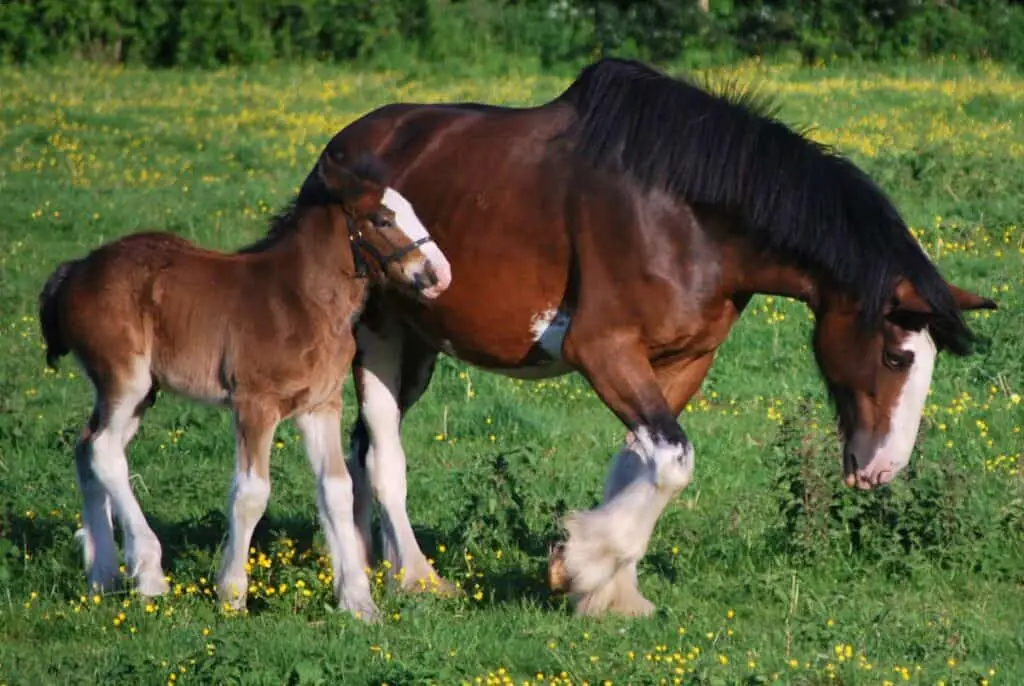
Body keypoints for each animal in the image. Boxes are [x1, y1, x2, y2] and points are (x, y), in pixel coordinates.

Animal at [39, 151, 450, 622]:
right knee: (103, 450)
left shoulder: (320, 405)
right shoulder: (255, 404)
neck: (300, 299)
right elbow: (251, 493)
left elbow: (337, 489)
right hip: (125, 378)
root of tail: (75, 270)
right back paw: (149, 574)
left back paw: (102, 576)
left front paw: (358, 602)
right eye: (382, 219)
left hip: (138, 393)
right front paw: (232, 593)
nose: (439, 274)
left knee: (86, 446)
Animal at [307, 59, 995, 618]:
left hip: (419, 346)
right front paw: (580, 565)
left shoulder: (682, 361)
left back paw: (370, 567)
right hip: (379, 335)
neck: (685, 213)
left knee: (363, 450)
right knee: (382, 454)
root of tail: (339, 154)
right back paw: (419, 578)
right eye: (896, 355)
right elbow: (672, 462)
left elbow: (641, 461)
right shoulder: (602, 350)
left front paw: (607, 590)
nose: (882, 470)